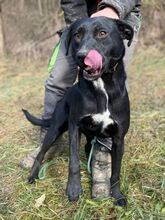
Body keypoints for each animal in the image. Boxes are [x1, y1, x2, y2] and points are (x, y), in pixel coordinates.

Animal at [23, 17, 133, 206]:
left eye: (102, 33)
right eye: (77, 35)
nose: (82, 56)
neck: (101, 86)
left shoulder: (119, 139)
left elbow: (116, 172)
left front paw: (117, 195)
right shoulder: (75, 127)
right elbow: (73, 163)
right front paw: (73, 189)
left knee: (90, 148)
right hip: (55, 128)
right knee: (42, 152)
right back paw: (33, 175)